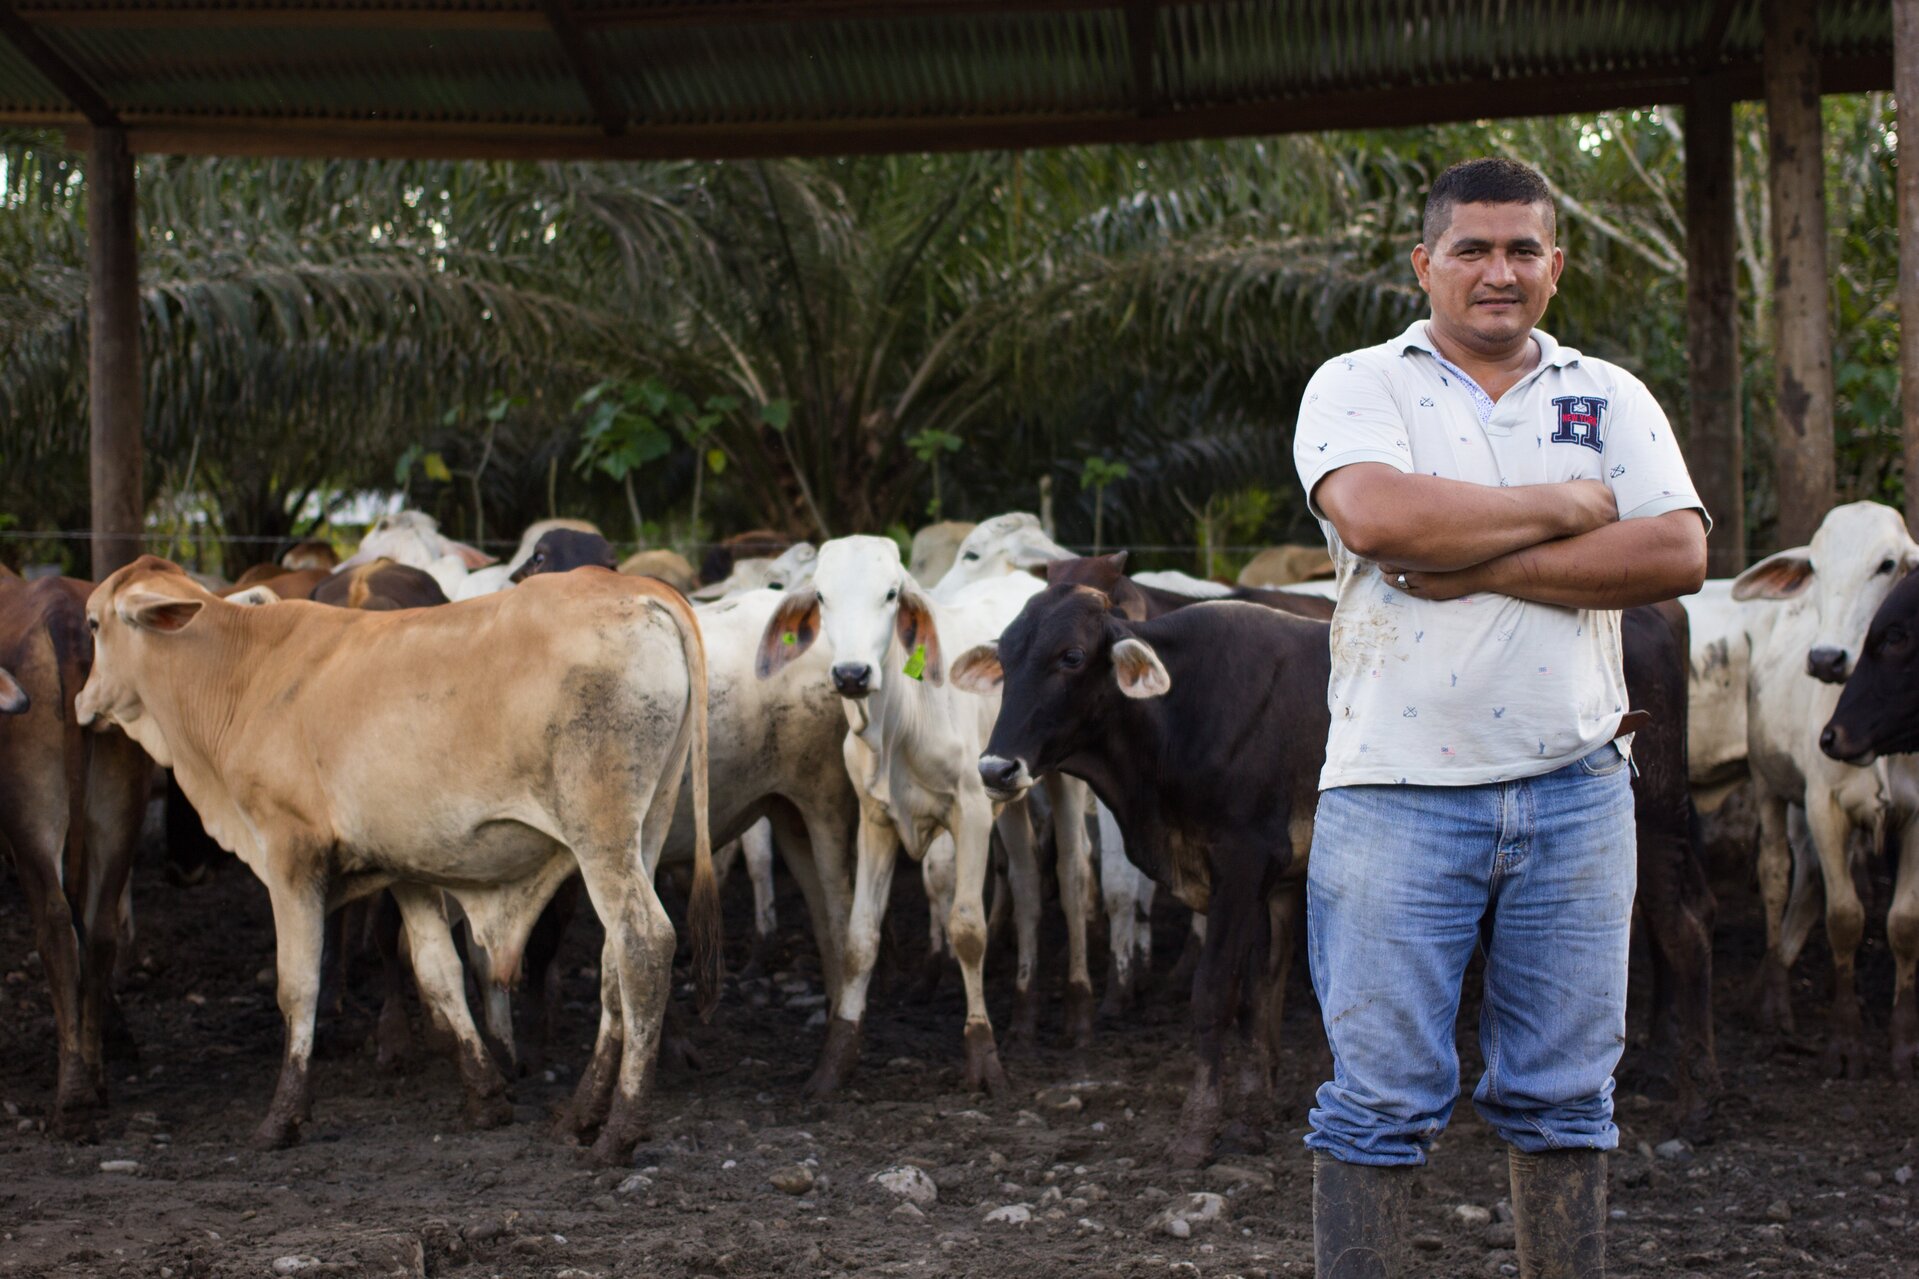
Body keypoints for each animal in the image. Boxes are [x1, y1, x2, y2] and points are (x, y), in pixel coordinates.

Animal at [72, 549, 721, 1152]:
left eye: (93, 624)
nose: (81, 701)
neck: (244, 673)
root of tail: (639, 590)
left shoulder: (291, 855)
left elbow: (297, 986)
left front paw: (282, 1117)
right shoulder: (407, 867)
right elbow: (438, 974)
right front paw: (485, 1098)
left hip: (601, 835)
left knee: (643, 943)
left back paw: (619, 1132)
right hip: (647, 826)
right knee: (616, 960)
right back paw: (582, 1114)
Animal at [763, 533, 1097, 1090]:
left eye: (891, 594)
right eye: (823, 596)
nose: (852, 674)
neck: (901, 721)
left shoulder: (971, 812)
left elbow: (968, 929)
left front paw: (982, 1058)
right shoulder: (875, 819)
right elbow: (859, 939)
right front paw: (834, 1062)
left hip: (1061, 781)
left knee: (1071, 878)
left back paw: (1078, 1013)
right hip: (1008, 792)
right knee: (1028, 884)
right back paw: (1024, 1020)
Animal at [1727, 499, 1919, 1075]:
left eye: (1887, 565)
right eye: (1814, 566)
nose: (1825, 659)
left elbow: (1904, 923)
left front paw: (1903, 1044)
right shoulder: (1823, 805)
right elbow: (1845, 918)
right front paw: (1846, 1041)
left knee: (1809, 880)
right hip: (1769, 785)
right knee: (1775, 875)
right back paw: (1773, 999)